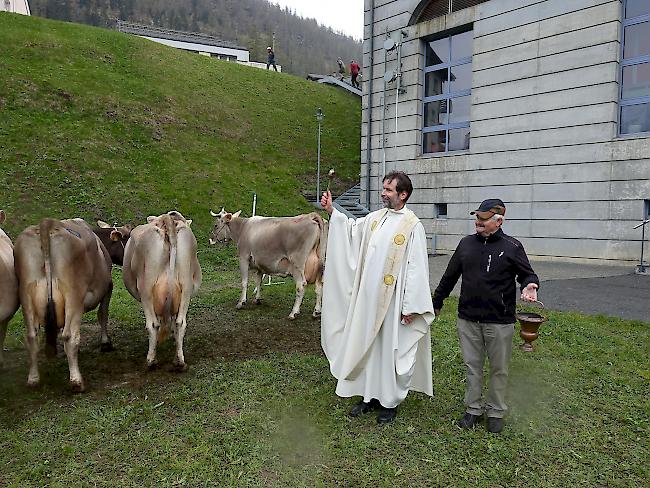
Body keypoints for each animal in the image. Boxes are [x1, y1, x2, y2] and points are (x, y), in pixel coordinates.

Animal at [13, 219, 113, 390]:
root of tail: (47, 224)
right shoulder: (108, 288)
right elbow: (103, 314)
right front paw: (105, 343)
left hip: (26, 294)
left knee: (32, 336)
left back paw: (33, 379)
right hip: (73, 296)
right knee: (70, 336)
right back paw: (76, 381)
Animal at [121, 210, 200, 370]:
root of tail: (167, 220)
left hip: (146, 288)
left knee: (152, 324)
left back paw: (151, 360)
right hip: (186, 287)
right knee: (180, 322)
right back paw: (179, 361)